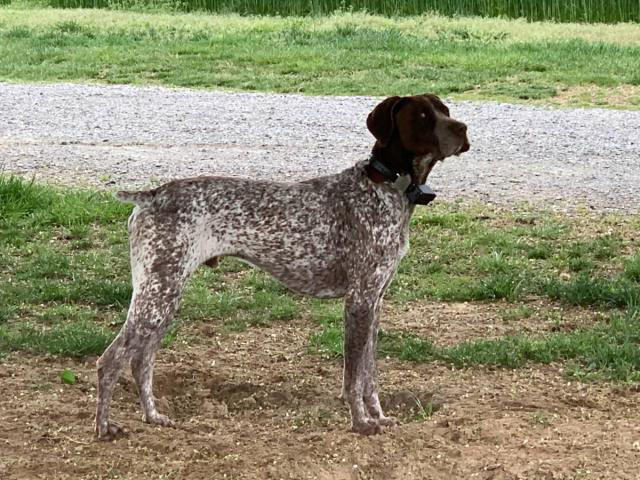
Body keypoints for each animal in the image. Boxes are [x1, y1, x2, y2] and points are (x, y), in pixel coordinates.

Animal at [95, 93, 470, 438]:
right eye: (422, 115)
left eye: (445, 110)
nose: (463, 129)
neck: (387, 187)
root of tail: (151, 196)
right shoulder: (359, 301)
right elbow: (353, 377)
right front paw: (361, 422)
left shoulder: (375, 302)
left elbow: (370, 375)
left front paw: (377, 415)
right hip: (157, 297)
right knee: (110, 361)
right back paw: (104, 427)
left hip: (163, 298)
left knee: (141, 361)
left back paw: (153, 416)